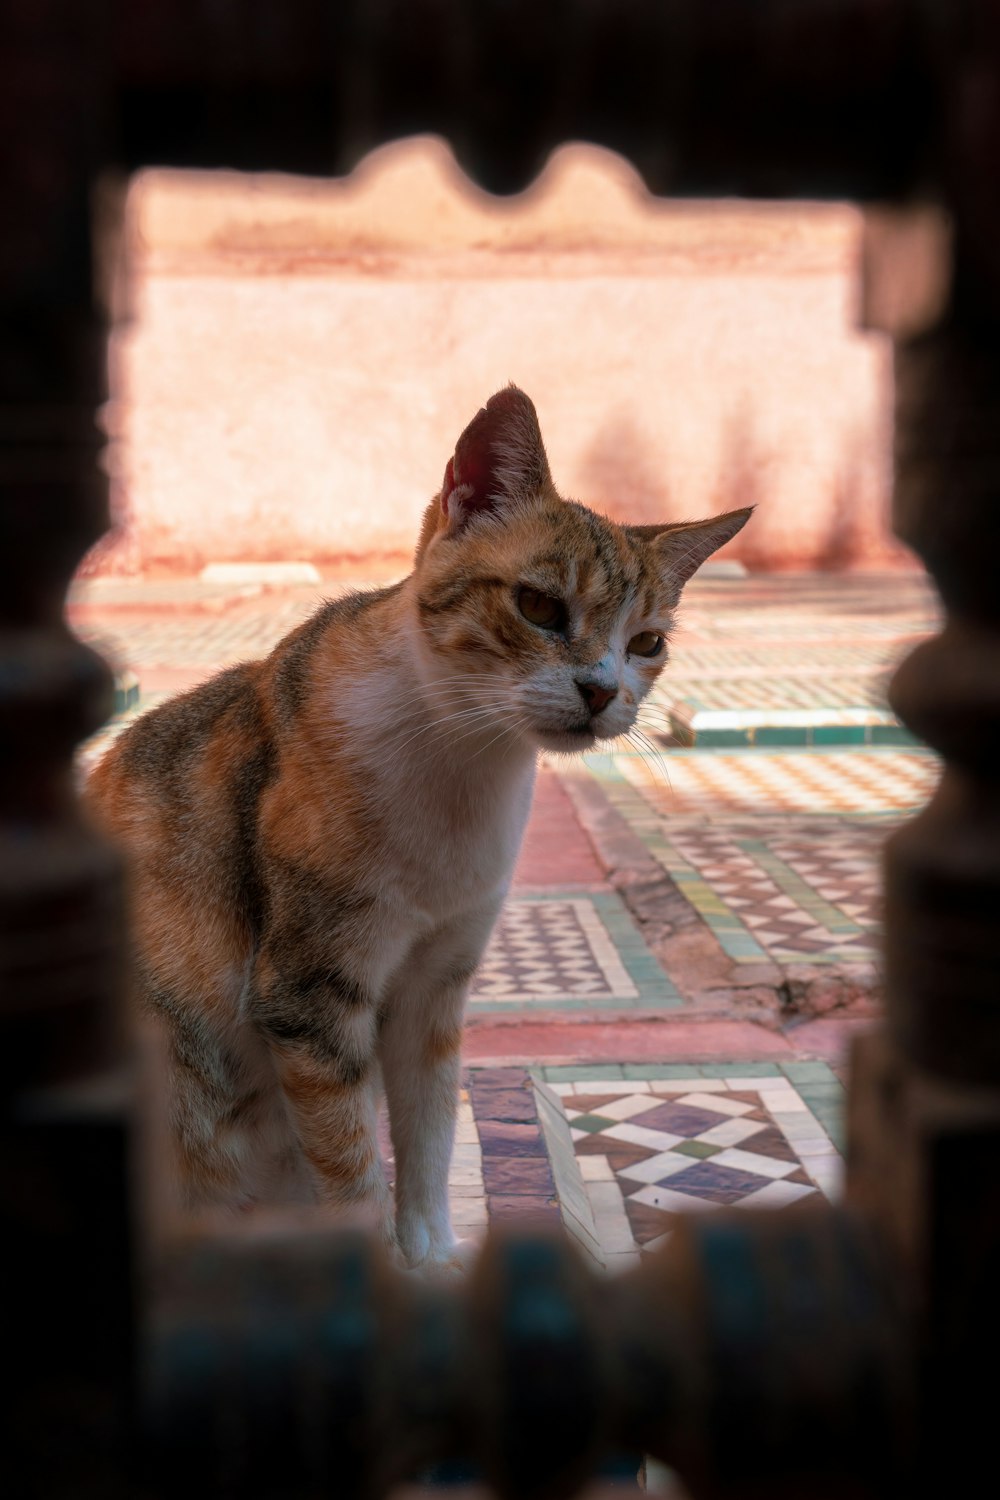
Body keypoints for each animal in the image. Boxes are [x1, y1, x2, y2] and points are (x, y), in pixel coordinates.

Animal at [86, 384, 746, 1266]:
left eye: (647, 643)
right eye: (539, 605)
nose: (604, 690)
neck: (461, 765)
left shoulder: (439, 982)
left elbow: (430, 1135)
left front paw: (432, 1256)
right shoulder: (310, 991)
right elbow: (351, 1164)